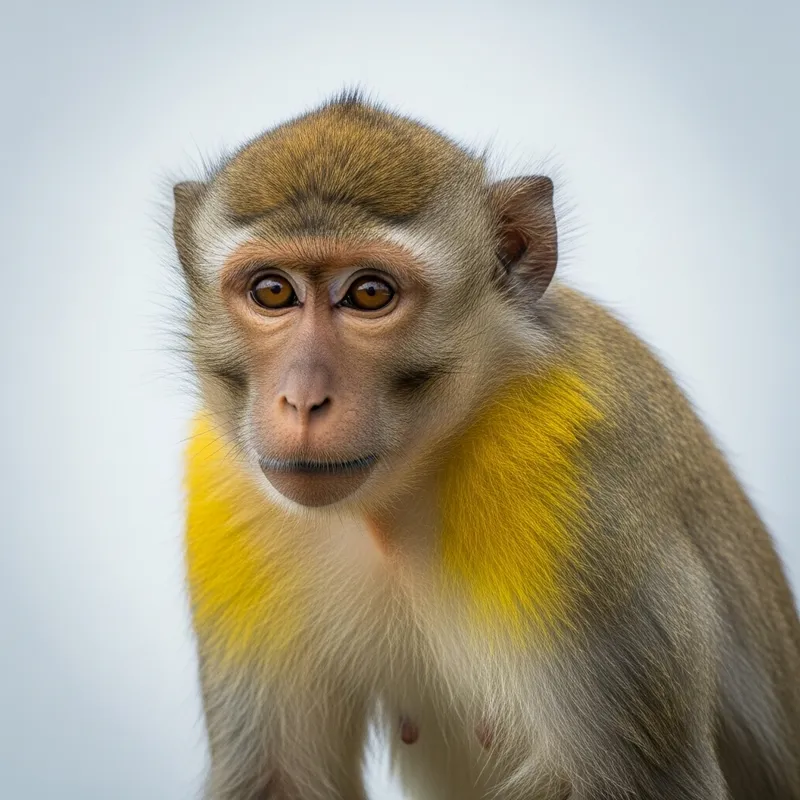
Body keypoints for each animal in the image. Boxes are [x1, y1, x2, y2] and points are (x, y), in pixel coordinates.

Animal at [171, 92, 800, 800]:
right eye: (273, 291)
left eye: (369, 293)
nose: (302, 399)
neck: (394, 498)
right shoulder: (220, 492)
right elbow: (276, 776)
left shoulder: (577, 495)